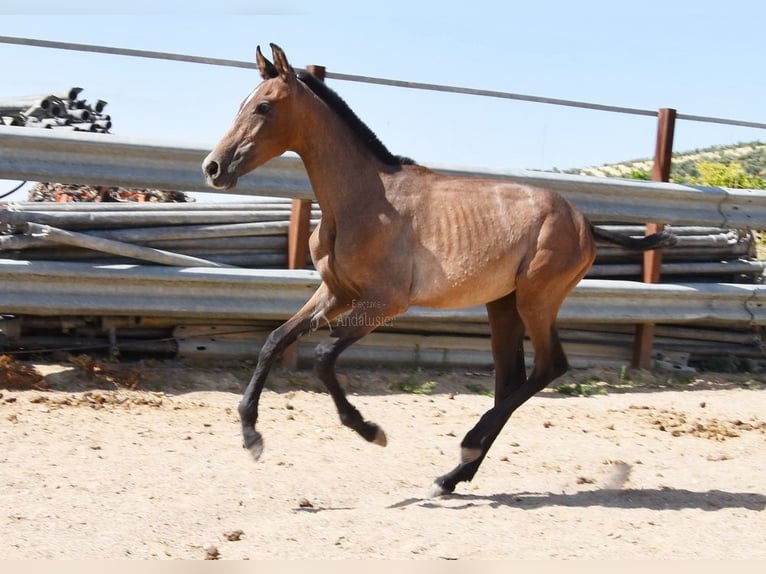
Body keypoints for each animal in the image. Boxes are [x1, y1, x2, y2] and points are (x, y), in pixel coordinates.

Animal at [202, 42, 680, 498]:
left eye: (263, 107)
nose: (213, 167)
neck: (364, 200)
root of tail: (585, 222)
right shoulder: (336, 293)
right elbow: (274, 340)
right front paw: (251, 437)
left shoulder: (385, 303)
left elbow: (321, 356)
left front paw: (370, 431)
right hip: (502, 306)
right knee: (511, 379)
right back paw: (451, 477)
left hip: (537, 300)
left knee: (549, 368)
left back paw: (466, 448)